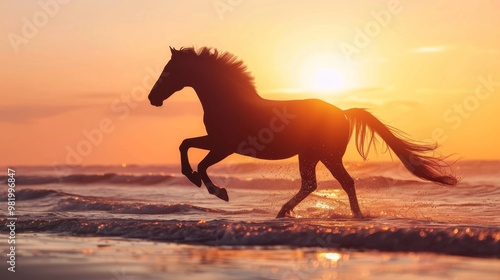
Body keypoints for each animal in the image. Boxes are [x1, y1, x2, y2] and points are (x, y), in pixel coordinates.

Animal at [147, 47, 458, 218]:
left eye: (168, 70)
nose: (153, 98)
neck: (228, 101)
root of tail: (343, 112)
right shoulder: (217, 142)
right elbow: (185, 144)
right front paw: (198, 180)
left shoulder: (225, 145)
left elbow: (198, 159)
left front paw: (216, 190)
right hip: (314, 155)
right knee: (317, 184)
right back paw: (287, 212)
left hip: (323, 155)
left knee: (337, 183)